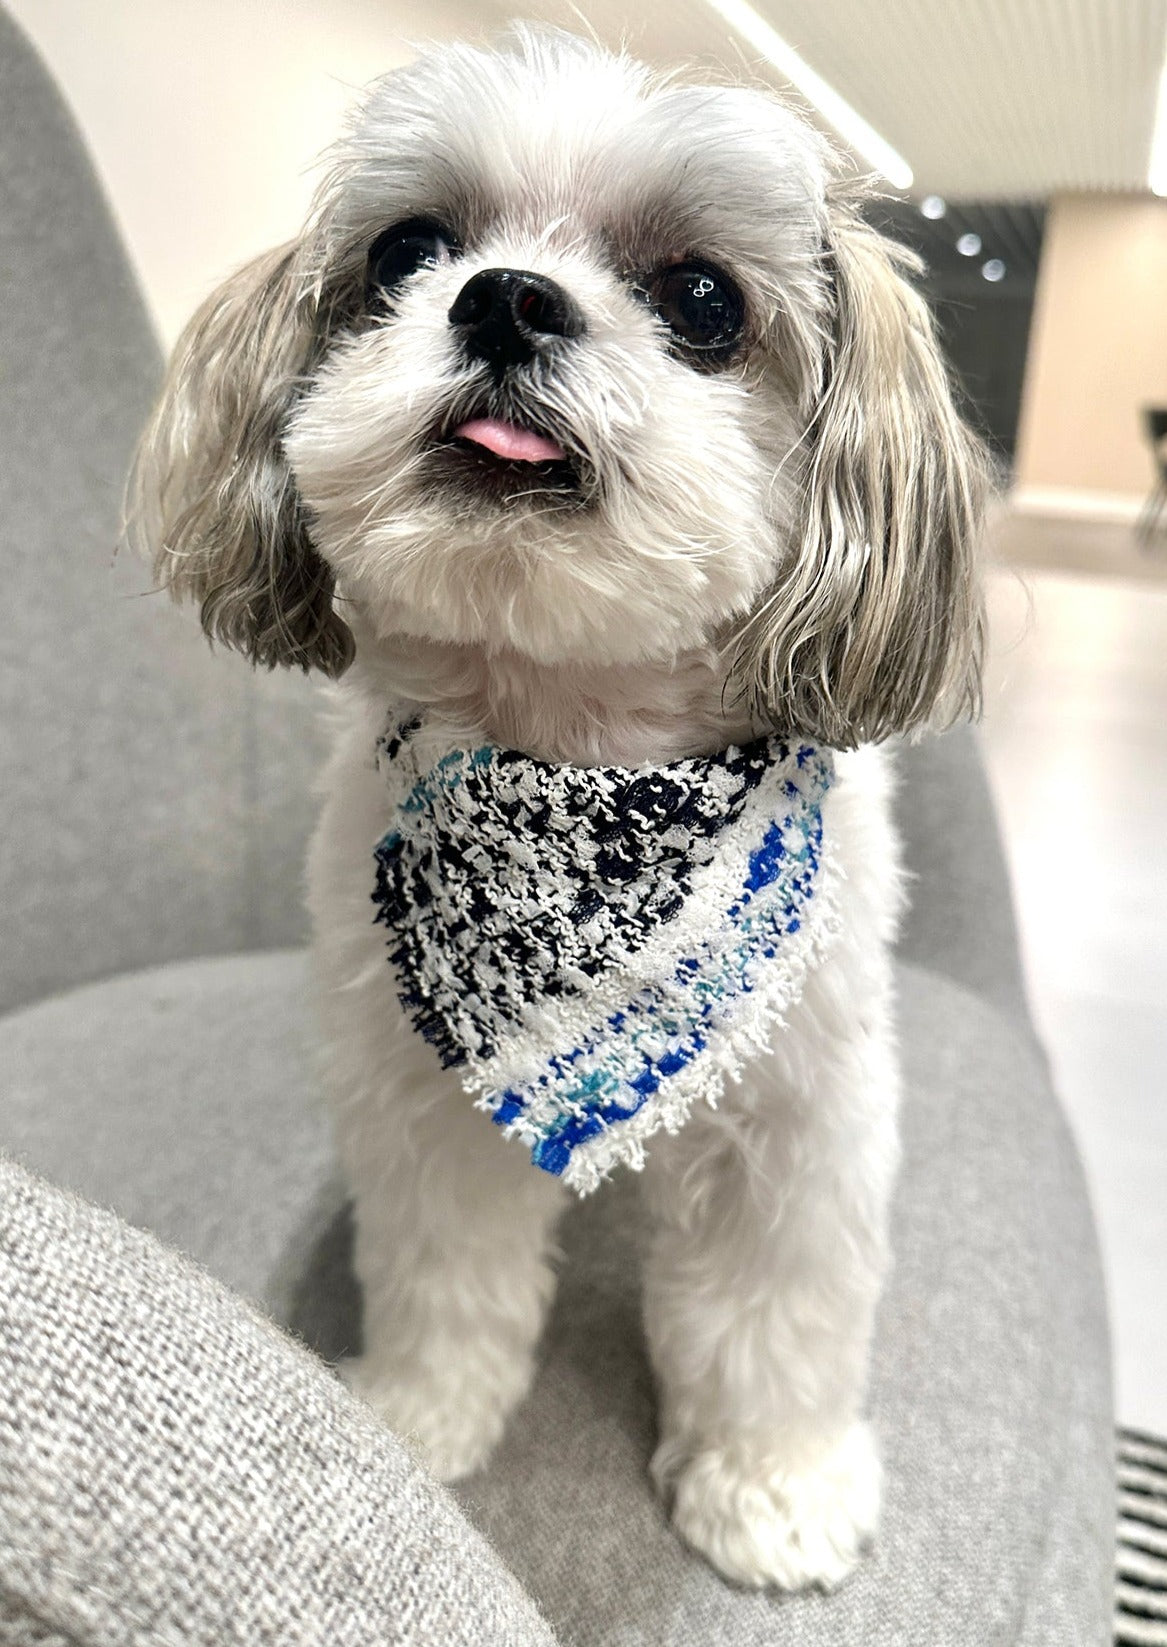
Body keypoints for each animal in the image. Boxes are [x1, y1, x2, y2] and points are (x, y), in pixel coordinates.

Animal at [131, 29, 987, 1594]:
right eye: (408, 251)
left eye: (702, 301)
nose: (508, 297)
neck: (574, 749)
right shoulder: (415, 1089)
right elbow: (445, 1269)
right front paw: (423, 1414)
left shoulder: (802, 1117)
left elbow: (774, 1313)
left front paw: (772, 1480)